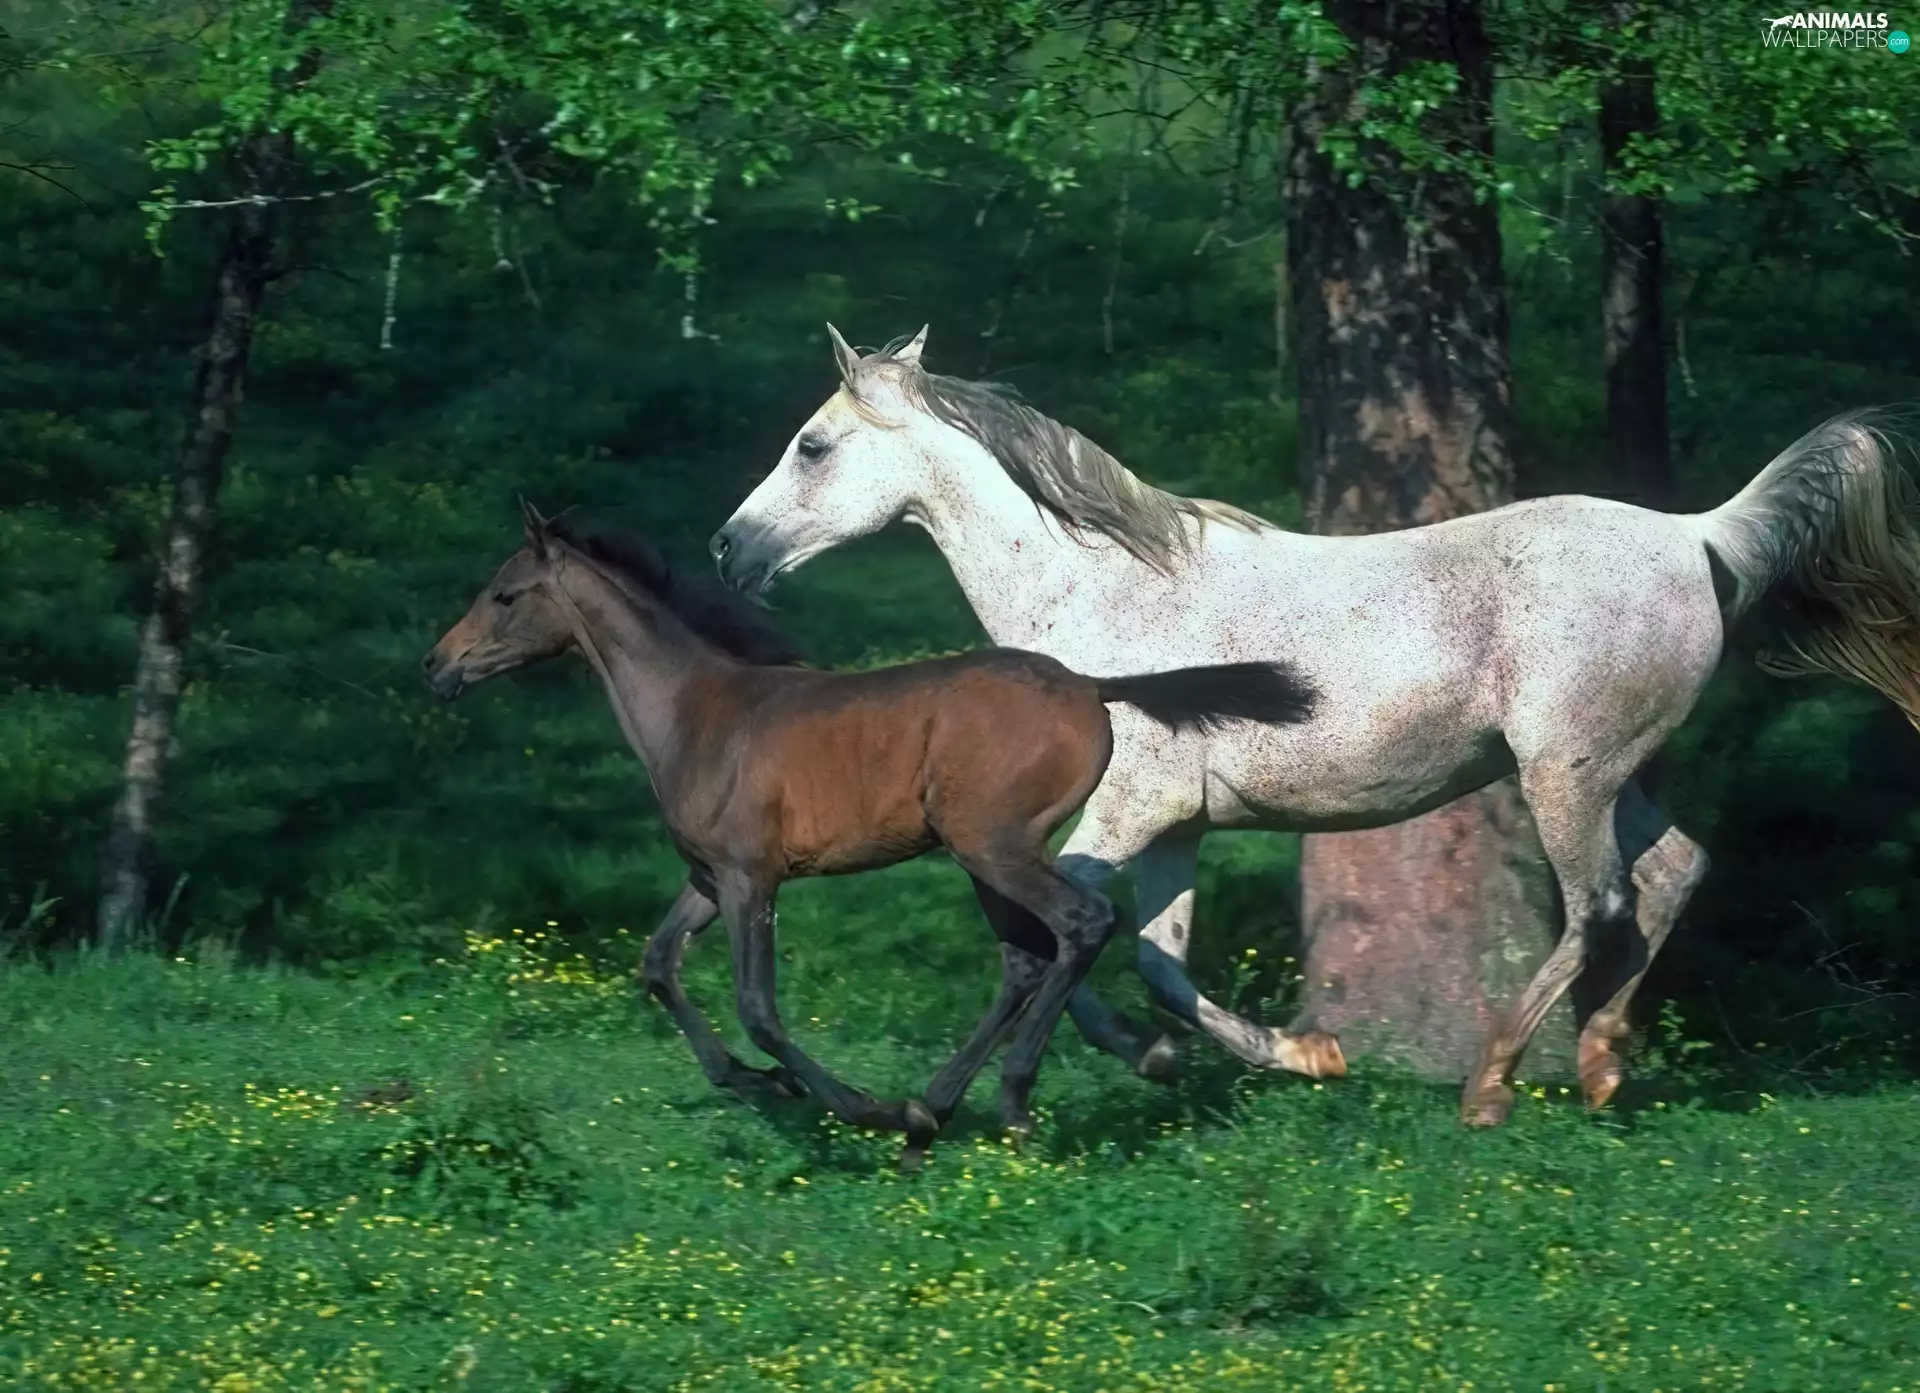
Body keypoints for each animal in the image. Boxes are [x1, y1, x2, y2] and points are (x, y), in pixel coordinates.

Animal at [422, 500, 1322, 1166]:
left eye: (504, 594)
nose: (436, 667)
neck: (698, 713)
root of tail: (1090, 686)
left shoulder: (752, 878)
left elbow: (758, 1007)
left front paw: (858, 1106)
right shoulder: (709, 878)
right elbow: (657, 965)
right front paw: (755, 1083)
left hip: (991, 844)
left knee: (1080, 924)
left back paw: (1007, 1098)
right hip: (981, 856)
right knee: (1026, 958)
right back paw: (939, 1110)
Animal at [709, 323, 1920, 1127]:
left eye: (812, 445)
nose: (729, 549)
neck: (1106, 598)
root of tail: (1697, 533)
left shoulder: (1127, 807)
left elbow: (1069, 933)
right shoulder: (1180, 825)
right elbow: (1155, 960)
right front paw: (1281, 1055)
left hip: (1563, 774)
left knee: (1598, 905)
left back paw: (1492, 1085)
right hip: (1611, 769)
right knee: (1673, 871)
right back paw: (1599, 1064)